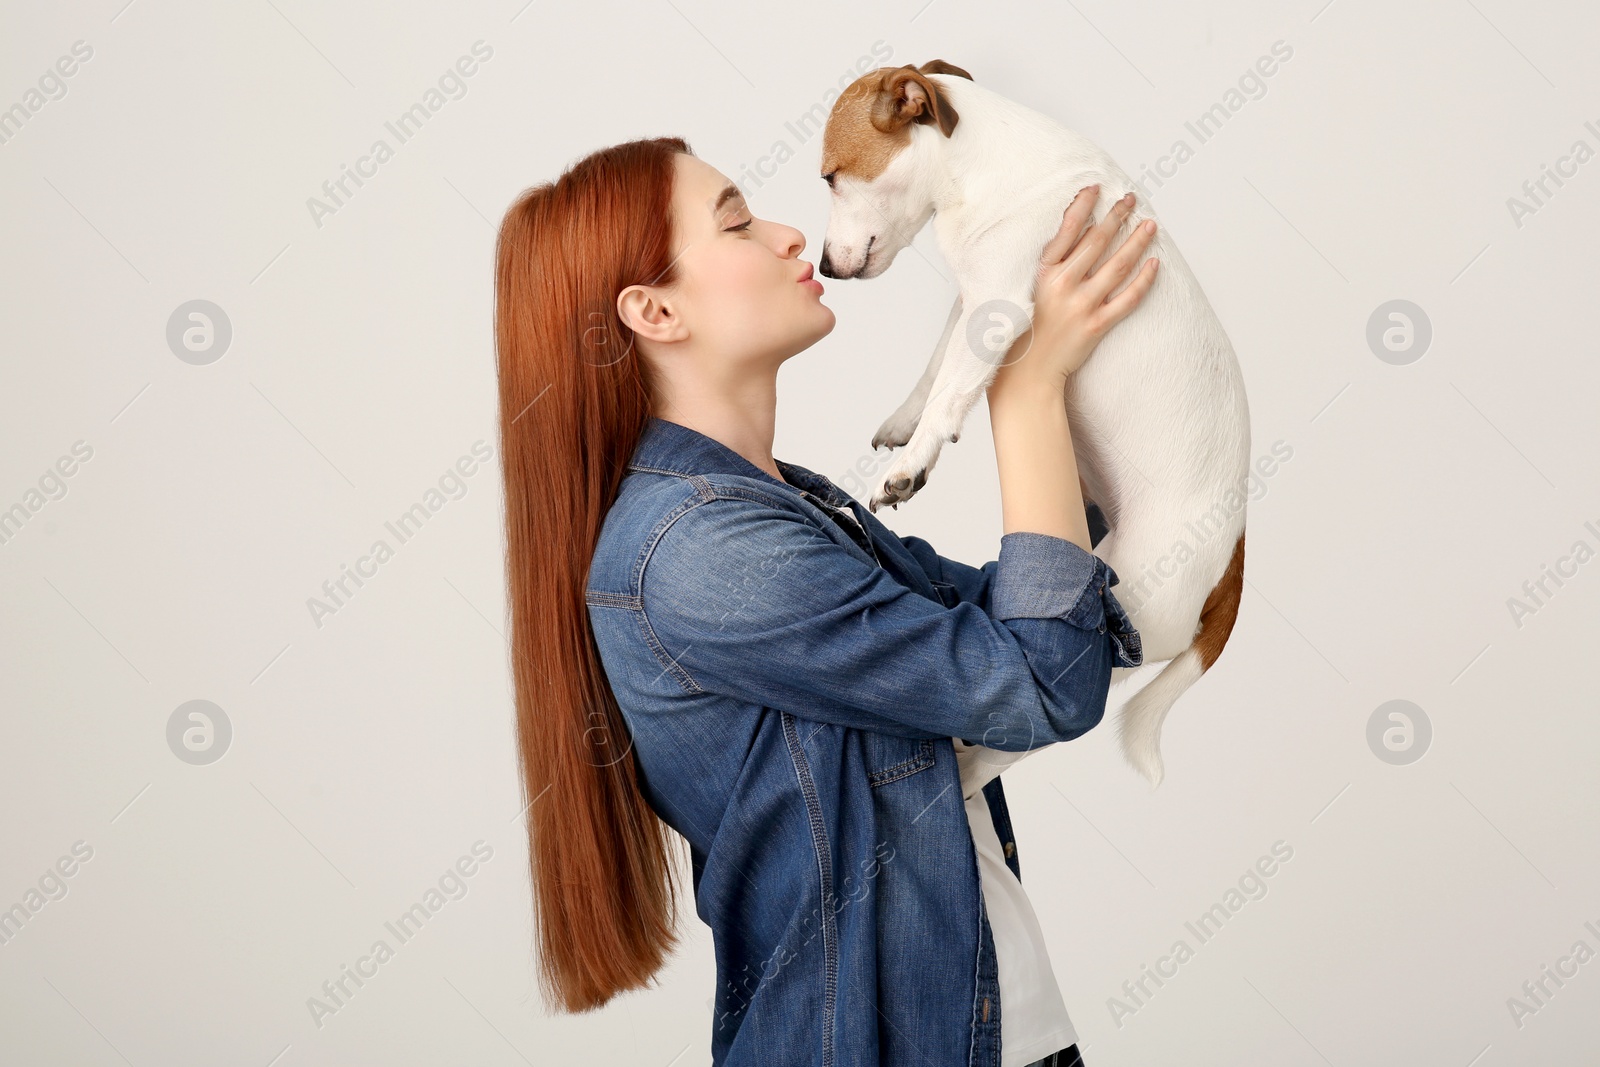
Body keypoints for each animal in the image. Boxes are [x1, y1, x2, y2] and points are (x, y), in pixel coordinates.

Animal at [825, 62, 1248, 790]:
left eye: (829, 177)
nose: (822, 266)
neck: (974, 163)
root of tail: (1234, 564)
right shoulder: (971, 302)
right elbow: (936, 370)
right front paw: (904, 422)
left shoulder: (995, 305)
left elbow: (951, 388)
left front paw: (910, 465)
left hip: (1115, 617)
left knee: (1029, 729)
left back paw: (967, 771)